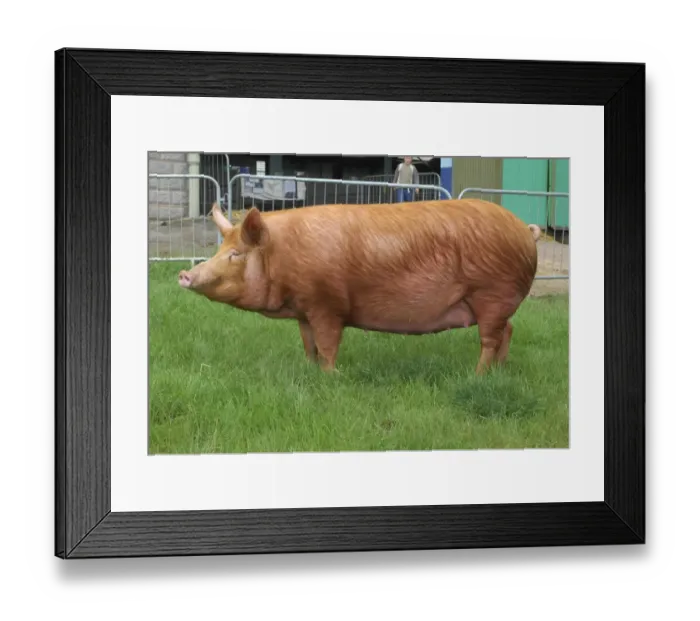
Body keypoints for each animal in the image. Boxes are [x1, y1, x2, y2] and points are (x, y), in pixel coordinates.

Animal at [178, 199, 542, 375]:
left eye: (236, 254)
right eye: (220, 250)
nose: (184, 274)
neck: (282, 254)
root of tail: (525, 231)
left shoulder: (327, 304)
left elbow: (328, 345)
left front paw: (331, 377)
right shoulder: (304, 310)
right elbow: (308, 345)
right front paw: (308, 370)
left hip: (492, 293)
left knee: (490, 339)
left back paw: (476, 375)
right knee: (508, 331)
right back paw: (499, 371)